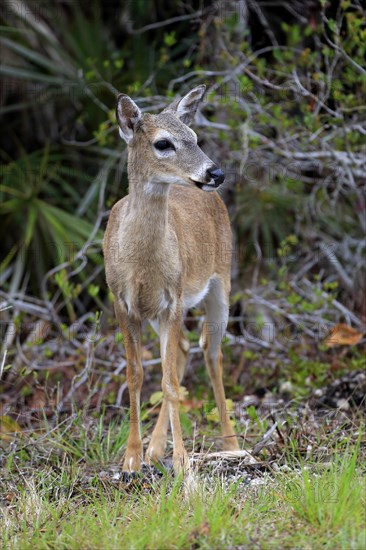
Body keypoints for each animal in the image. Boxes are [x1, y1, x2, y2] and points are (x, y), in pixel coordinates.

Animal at [103, 84, 240, 476]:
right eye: (163, 143)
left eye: (194, 136)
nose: (215, 173)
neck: (141, 264)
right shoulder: (123, 302)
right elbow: (136, 375)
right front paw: (132, 457)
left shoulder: (174, 298)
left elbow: (167, 380)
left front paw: (181, 460)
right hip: (160, 313)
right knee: (181, 351)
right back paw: (154, 449)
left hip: (220, 283)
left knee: (210, 353)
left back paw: (232, 446)